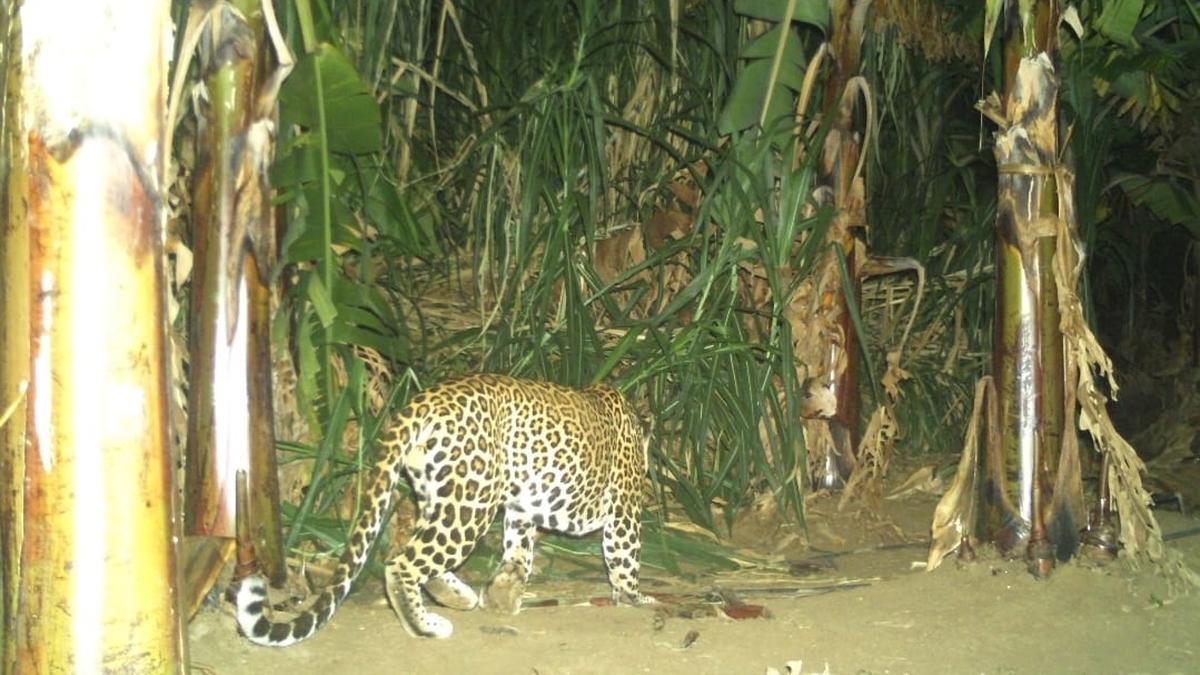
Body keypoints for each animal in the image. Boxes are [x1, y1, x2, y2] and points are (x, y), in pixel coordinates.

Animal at [234, 373, 654, 645]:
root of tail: (425, 401)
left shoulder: (521, 511)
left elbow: (519, 553)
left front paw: (501, 597)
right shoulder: (624, 510)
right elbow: (625, 557)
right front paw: (638, 598)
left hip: (441, 493)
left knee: (417, 552)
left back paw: (457, 597)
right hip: (471, 501)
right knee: (403, 562)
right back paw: (427, 626)